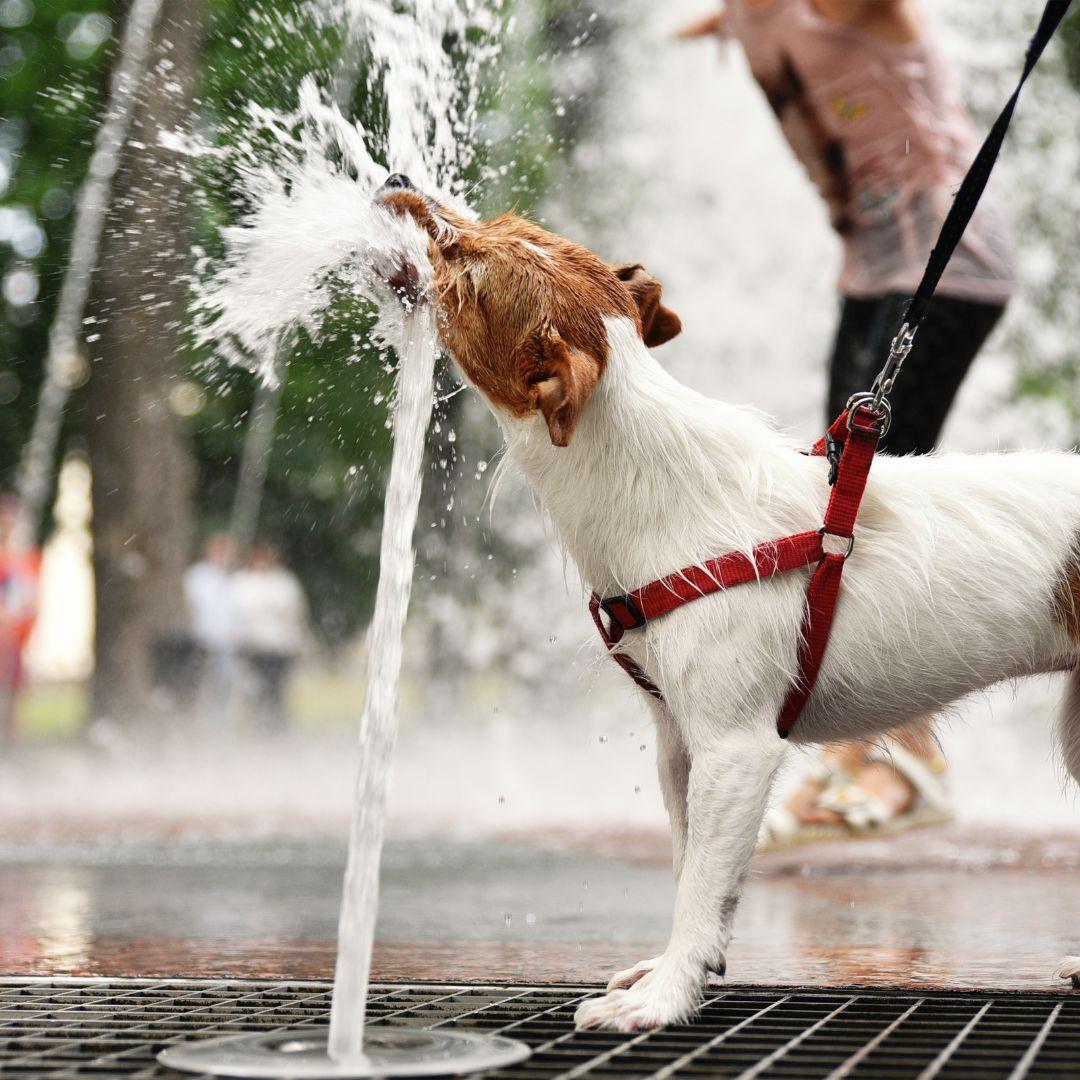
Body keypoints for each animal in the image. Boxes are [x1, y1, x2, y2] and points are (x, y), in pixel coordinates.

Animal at [373, 174, 1080, 1028]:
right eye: (497, 222)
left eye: (464, 269)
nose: (395, 182)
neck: (651, 478)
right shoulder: (680, 743)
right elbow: (690, 869)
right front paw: (678, 969)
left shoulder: (737, 748)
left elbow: (704, 883)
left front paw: (666, 995)